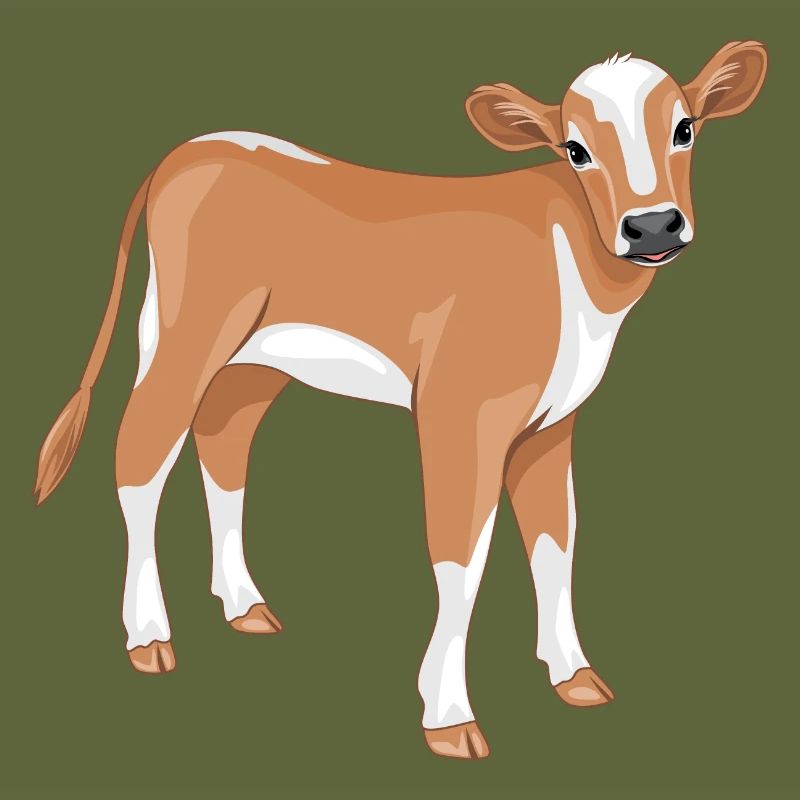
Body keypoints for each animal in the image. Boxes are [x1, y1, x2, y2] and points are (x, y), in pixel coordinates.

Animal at [35, 41, 767, 759]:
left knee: (222, 445)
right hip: (184, 336)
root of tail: (193, 147)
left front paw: (573, 675)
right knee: (141, 455)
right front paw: (448, 716)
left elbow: (558, 541)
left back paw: (244, 605)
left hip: (253, 361)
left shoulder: (552, 424)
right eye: (575, 148)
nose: (653, 226)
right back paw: (148, 636)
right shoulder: (460, 410)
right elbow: (462, 557)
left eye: (685, 128)